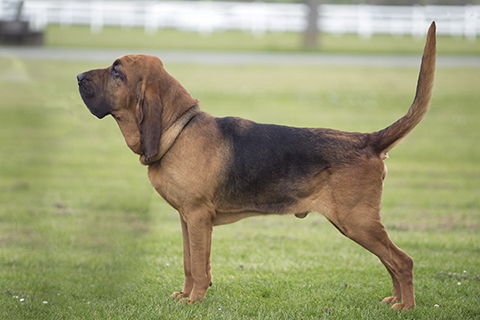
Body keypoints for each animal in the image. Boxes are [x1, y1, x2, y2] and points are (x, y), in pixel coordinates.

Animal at [78, 21, 436, 308]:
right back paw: (394, 300)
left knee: (403, 261)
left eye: (117, 71)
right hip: (358, 224)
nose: (78, 76)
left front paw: (193, 302)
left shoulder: (198, 217)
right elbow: (189, 263)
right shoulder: (186, 219)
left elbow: (199, 267)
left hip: (357, 222)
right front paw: (185, 295)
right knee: (391, 261)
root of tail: (368, 140)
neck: (178, 130)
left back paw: (406, 307)